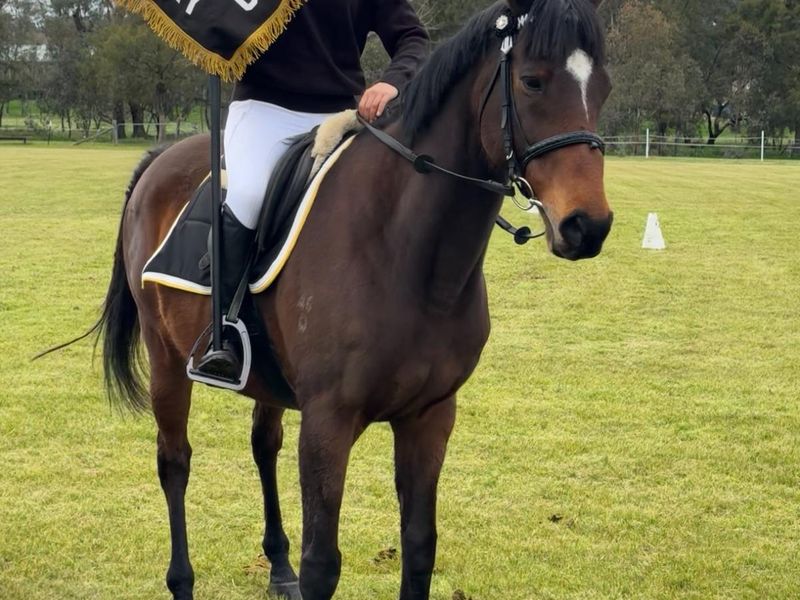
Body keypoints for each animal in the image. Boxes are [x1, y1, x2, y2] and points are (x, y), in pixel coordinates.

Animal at [98, 1, 611, 598]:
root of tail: (158, 159)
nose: (587, 226)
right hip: (166, 360)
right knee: (174, 462)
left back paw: (278, 566)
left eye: (602, 88)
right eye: (532, 81)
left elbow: (419, 547)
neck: (408, 255)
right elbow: (323, 563)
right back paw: (183, 580)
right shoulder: (328, 423)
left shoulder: (430, 417)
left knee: (263, 445)